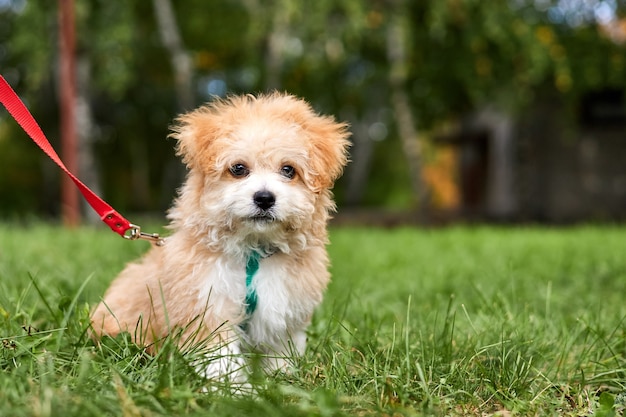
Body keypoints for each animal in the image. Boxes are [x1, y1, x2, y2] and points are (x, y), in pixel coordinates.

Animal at [89, 93, 352, 384]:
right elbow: (220, 357)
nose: (264, 198)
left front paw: (281, 379)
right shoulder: (207, 306)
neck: (253, 251)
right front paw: (232, 389)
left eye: (288, 170)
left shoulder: (284, 310)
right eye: (238, 168)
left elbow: (280, 349)